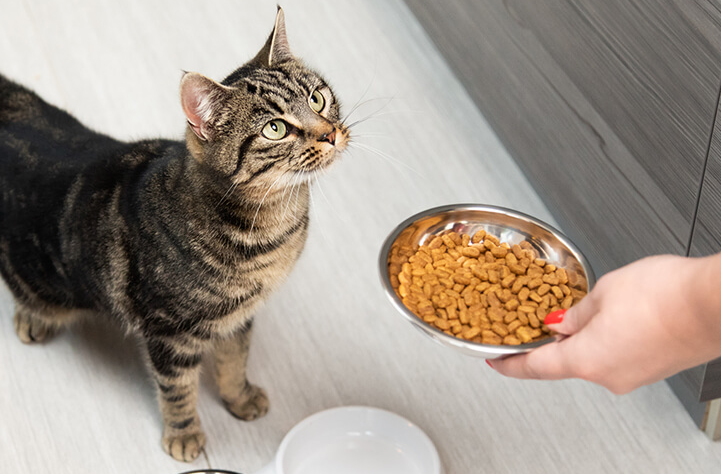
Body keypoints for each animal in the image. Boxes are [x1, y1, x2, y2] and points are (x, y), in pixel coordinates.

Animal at [0, 5, 348, 462]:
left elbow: (235, 360)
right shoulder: (170, 333)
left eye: (317, 98)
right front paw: (184, 435)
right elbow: (178, 391)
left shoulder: (239, 317)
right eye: (275, 128)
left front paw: (239, 398)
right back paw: (31, 318)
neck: (274, 227)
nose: (330, 132)